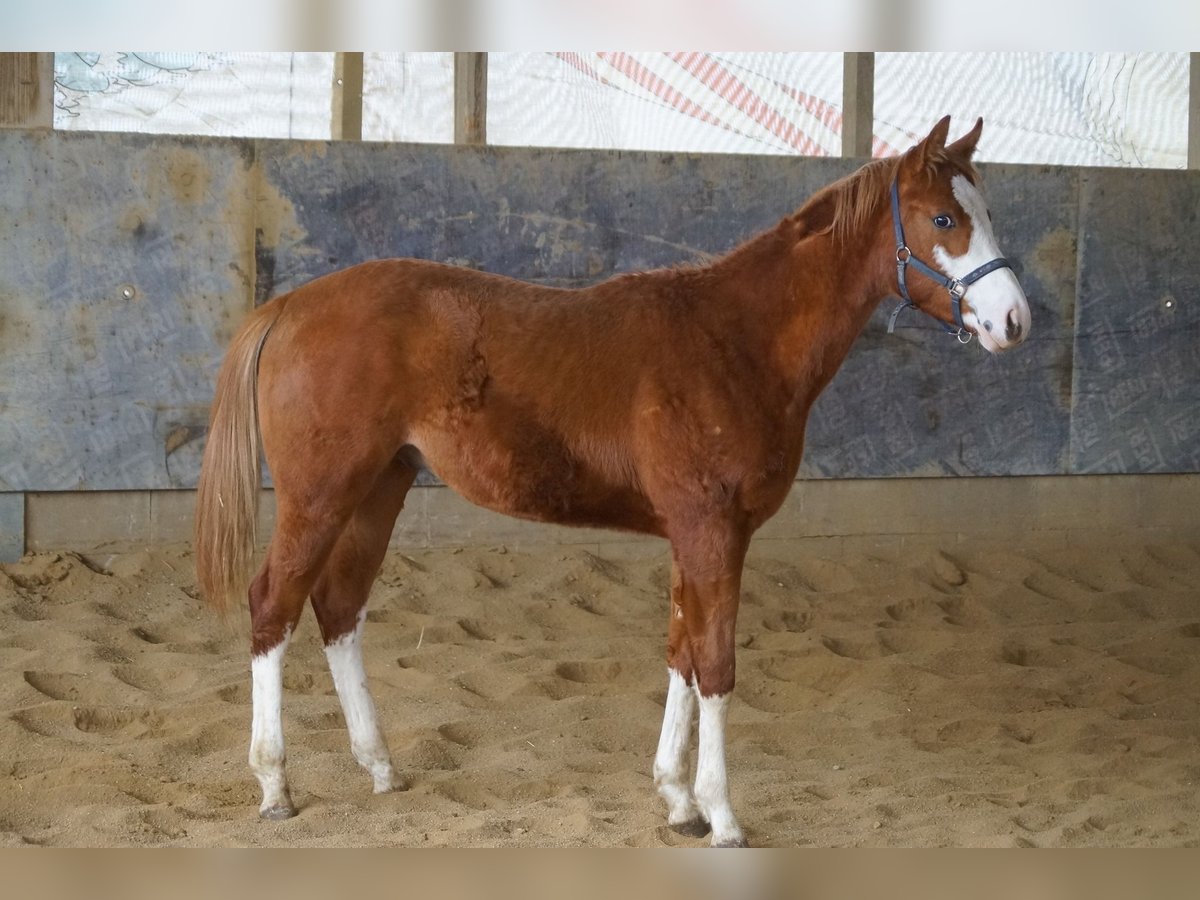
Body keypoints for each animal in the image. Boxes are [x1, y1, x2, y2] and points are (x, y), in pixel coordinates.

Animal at [194, 116, 1032, 849]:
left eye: (982, 210)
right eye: (945, 217)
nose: (1015, 321)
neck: (735, 340)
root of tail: (290, 305)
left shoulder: (693, 534)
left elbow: (681, 654)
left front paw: (679, 802)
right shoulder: (713, 531)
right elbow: (716, 666)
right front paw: (724, 816)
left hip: (379, 489)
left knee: (338, 609)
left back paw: (381, 769)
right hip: (321, 494)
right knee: (274, 604)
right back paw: (275, 787)